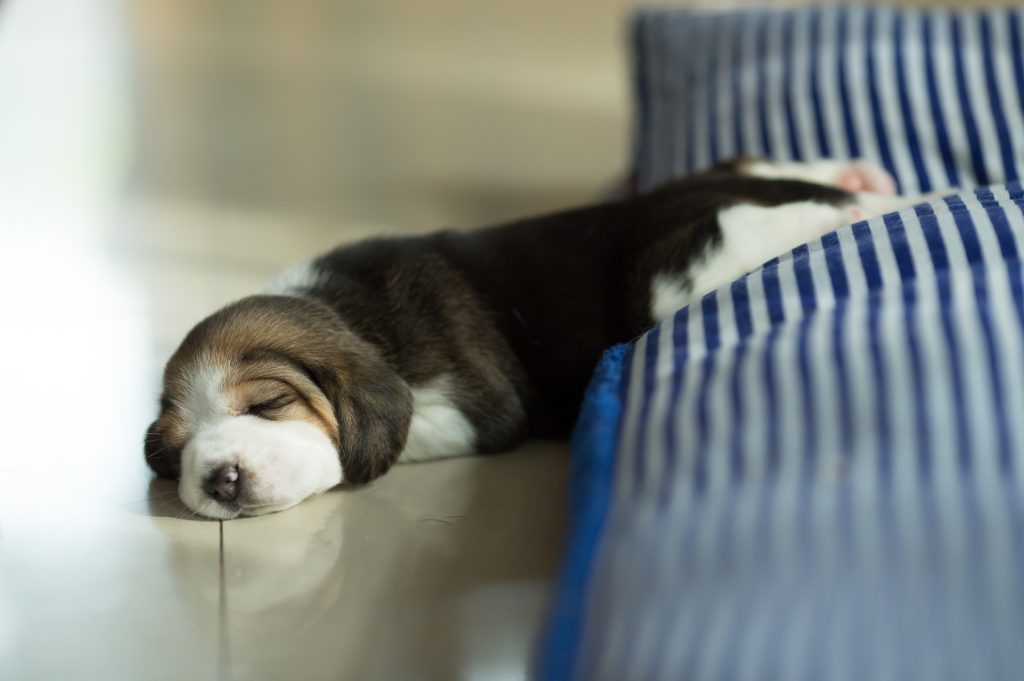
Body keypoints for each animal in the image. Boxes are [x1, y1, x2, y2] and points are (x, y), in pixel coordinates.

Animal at [144, 159, 921, 518]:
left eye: (268, 404)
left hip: (675, 274)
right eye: (175, 452)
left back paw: (882, 205)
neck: (349, 310)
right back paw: (864, 181)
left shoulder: (475, 408)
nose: (219, 478)